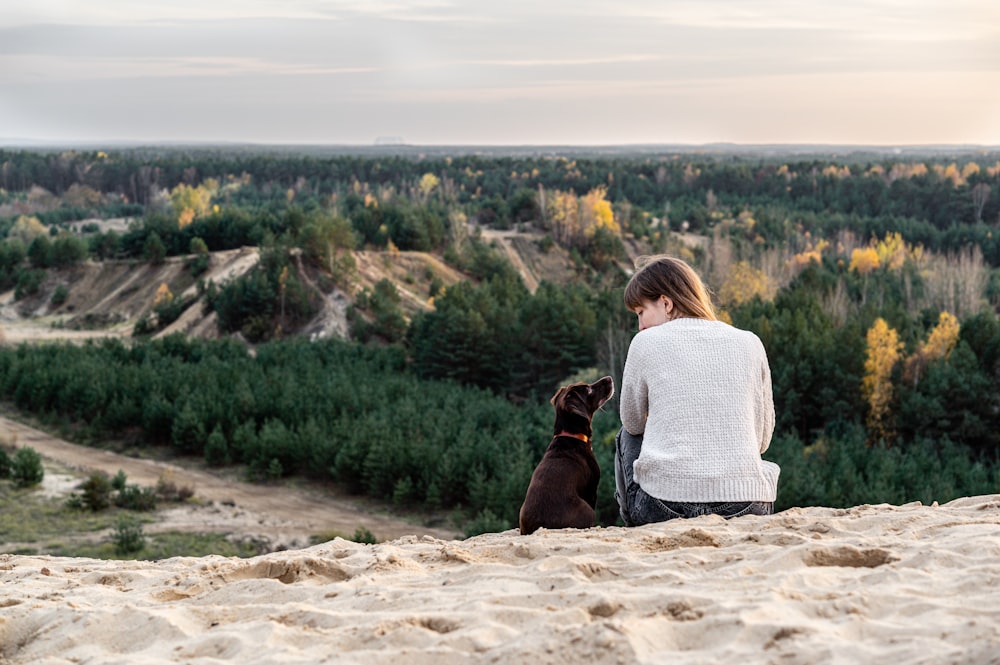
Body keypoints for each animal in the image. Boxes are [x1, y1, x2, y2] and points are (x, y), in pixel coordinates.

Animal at [520, 374, 612, 536]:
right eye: (588, 389)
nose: (609, 378)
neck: (571, 435)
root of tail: (538, 527)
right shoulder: (591, 489)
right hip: (587, 510)